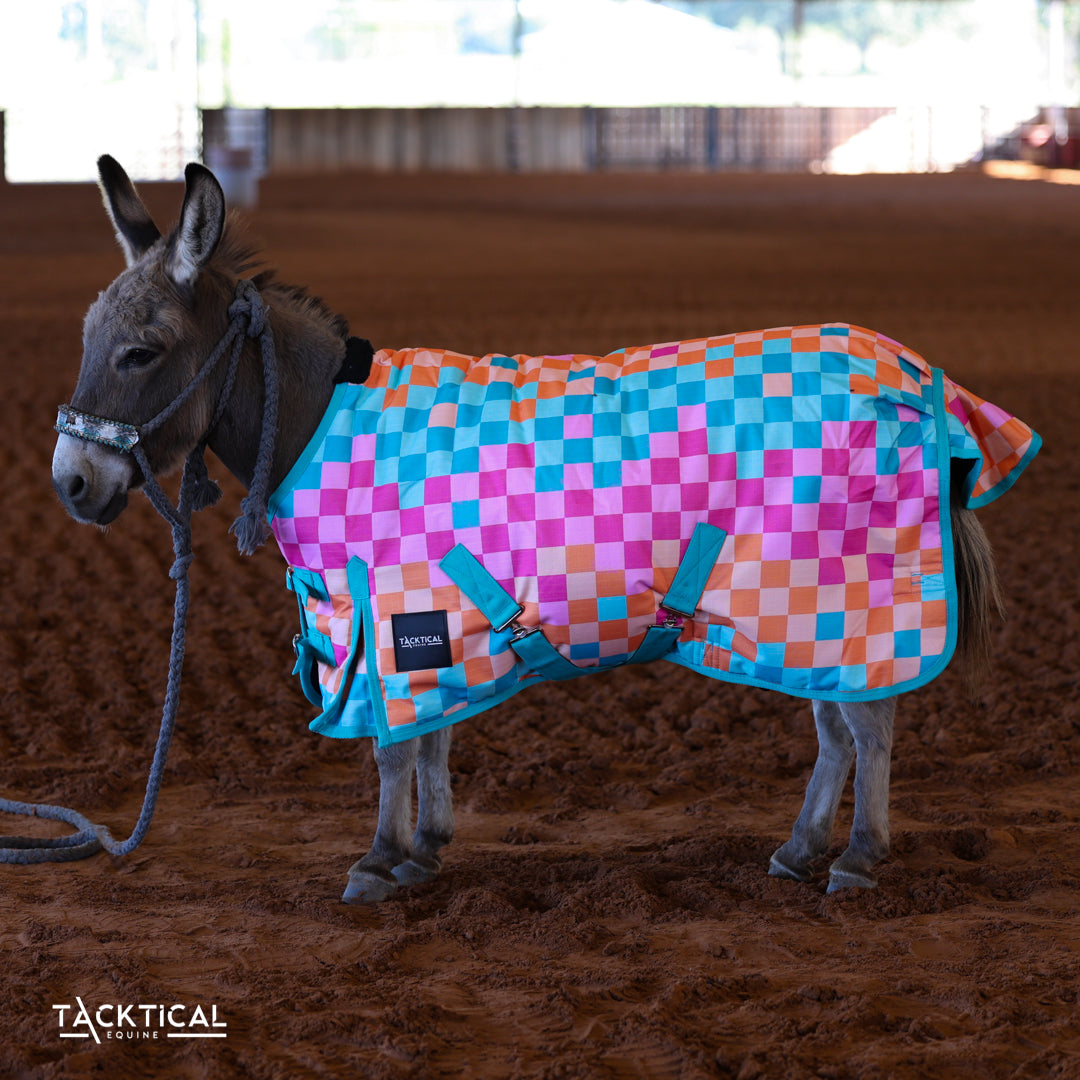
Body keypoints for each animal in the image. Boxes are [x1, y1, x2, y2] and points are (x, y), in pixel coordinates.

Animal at [52, 157, 1038, 903]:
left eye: (140, 352)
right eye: (88, 336)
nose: (72, 482)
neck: (321, 419)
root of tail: (914, 374)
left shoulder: (393, 615)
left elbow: (393, 748)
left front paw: (380, 859)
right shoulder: (429, 628)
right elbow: (433, 737)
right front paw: (423, 848)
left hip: (844, 598)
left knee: (868, 726)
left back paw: (859, 859)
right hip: (798, 617)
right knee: (839, 728)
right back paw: (801, 852)